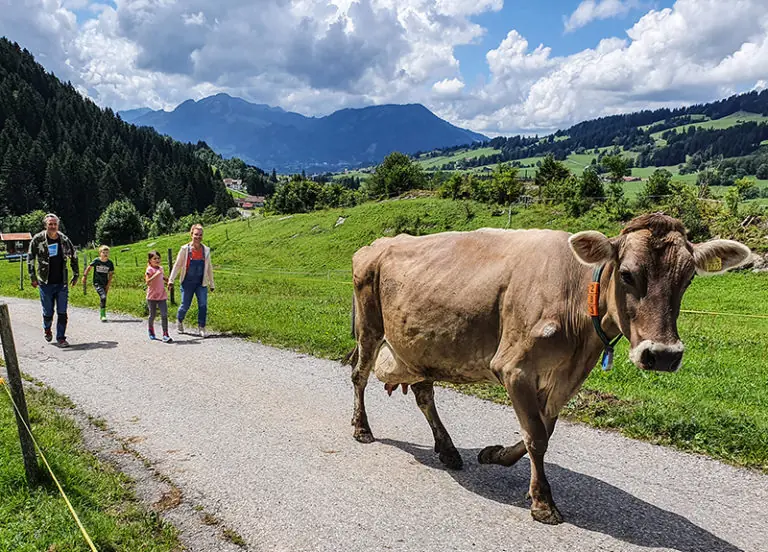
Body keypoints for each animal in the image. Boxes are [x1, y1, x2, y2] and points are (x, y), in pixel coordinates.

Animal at [346, 213, 751, 524]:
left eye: (688, 278)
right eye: (627, 275)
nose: (663, 354)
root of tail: (375, 244)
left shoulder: (566, 376)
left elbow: (544, 429)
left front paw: (497, 455)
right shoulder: (514, 367)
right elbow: (537, 436)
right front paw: (543, 502)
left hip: (421, 345)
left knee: (424, 392)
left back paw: (447, 450)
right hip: (369, 326)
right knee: (360, 375)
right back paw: (362, 428)